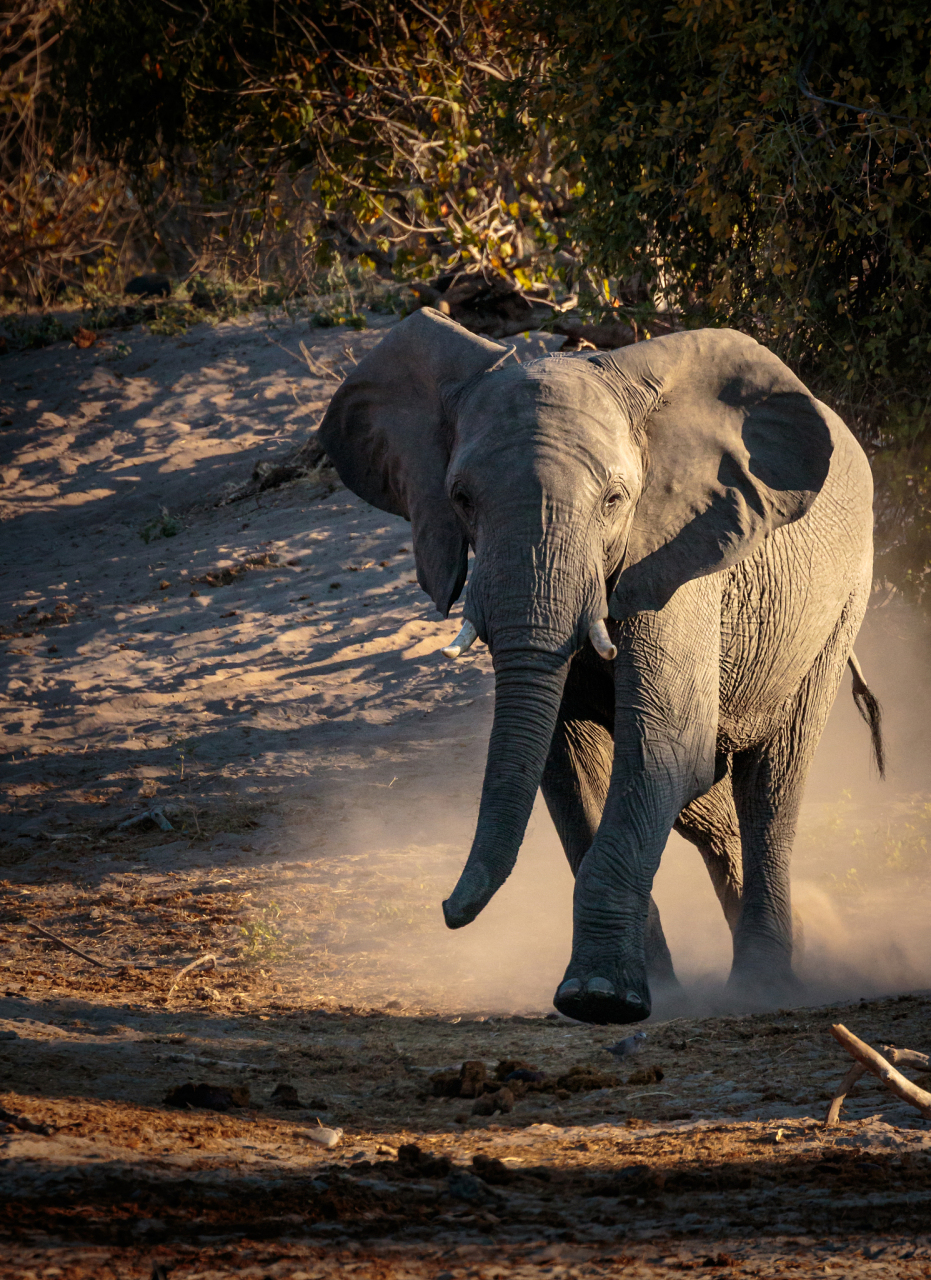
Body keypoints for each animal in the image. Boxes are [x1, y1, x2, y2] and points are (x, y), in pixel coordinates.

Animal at [318, 309, 881, 1029]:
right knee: (703, 791)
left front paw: (598, 998)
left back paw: (765, 984)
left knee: (770, 782)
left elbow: (661, 744)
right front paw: (628, 996)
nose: (446, 911)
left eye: (615, 499)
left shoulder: (678, 557)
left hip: (841, 603)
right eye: (460, 498)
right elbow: (569, 762)